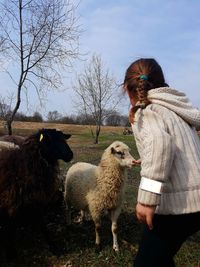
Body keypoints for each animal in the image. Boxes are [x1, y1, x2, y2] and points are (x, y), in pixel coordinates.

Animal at [0, 129, 73, 260]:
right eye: (51, 140)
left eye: (63, 139)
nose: (70, 155)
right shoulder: (10, 203)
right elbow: (10, 227)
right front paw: (11, 252)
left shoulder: (35, 200)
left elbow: (42, 225)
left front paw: (53, 246)